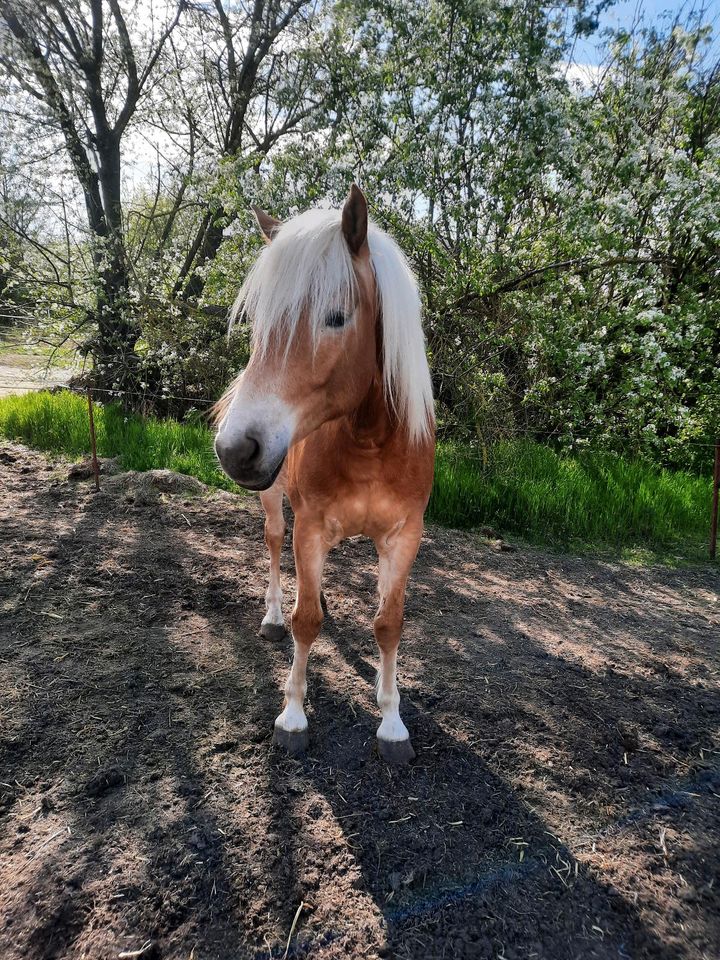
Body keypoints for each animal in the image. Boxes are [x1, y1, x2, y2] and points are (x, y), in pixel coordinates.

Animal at [211, 184, 436, 760]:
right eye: (259, 323)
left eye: (336, 317)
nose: (234, 448)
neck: (370, 443)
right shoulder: (310, 527)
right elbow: (305, 621)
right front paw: (293, 716)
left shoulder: (404, 536)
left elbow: (388, 623)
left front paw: (392, 720)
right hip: (273, 500)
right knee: (273, 542)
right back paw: (273, 615)